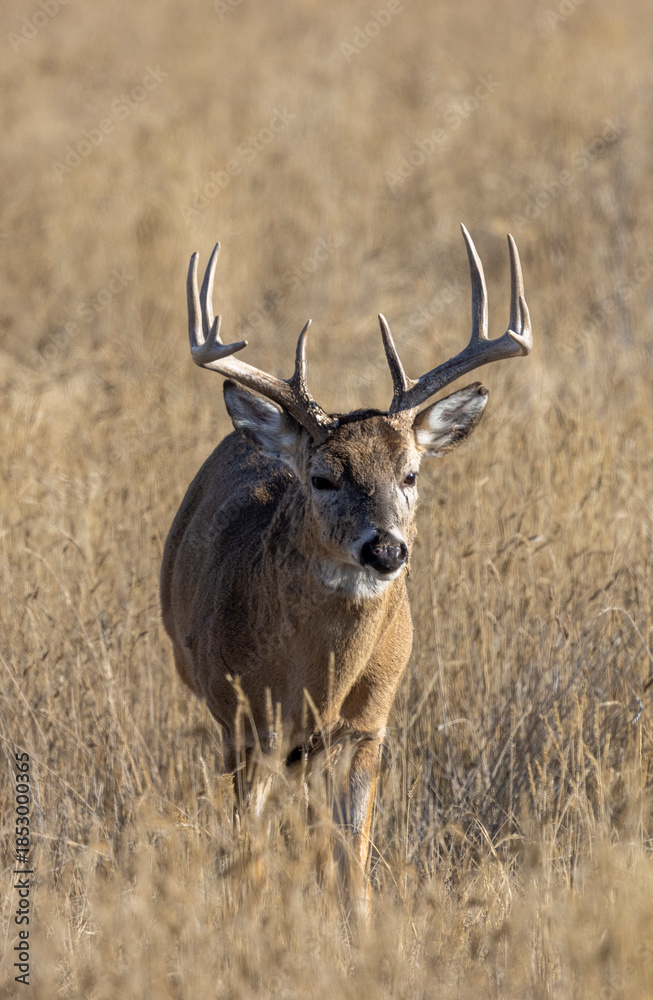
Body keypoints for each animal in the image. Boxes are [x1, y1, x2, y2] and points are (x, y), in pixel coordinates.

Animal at [160, 225, 532, 901]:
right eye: (323, 476)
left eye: (411, 474)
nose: (385, 549)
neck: (314, 685)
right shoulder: (245, 723)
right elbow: (247, 857)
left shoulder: (368, 726)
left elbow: (353, 868)